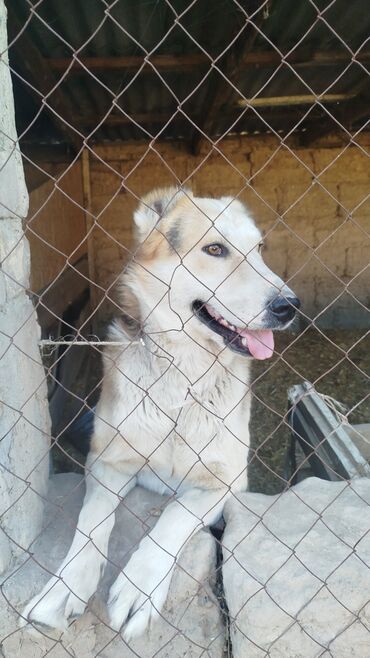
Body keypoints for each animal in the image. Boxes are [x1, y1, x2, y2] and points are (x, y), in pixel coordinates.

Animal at [22, 187, 300, 640]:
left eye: (259, 250)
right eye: (215, 249)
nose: (290, 305)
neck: (181, 379)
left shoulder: (227, 480)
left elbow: (173, 515)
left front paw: (138, 588)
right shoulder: (105, 460)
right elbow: (92, 521)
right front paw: (63, 591)